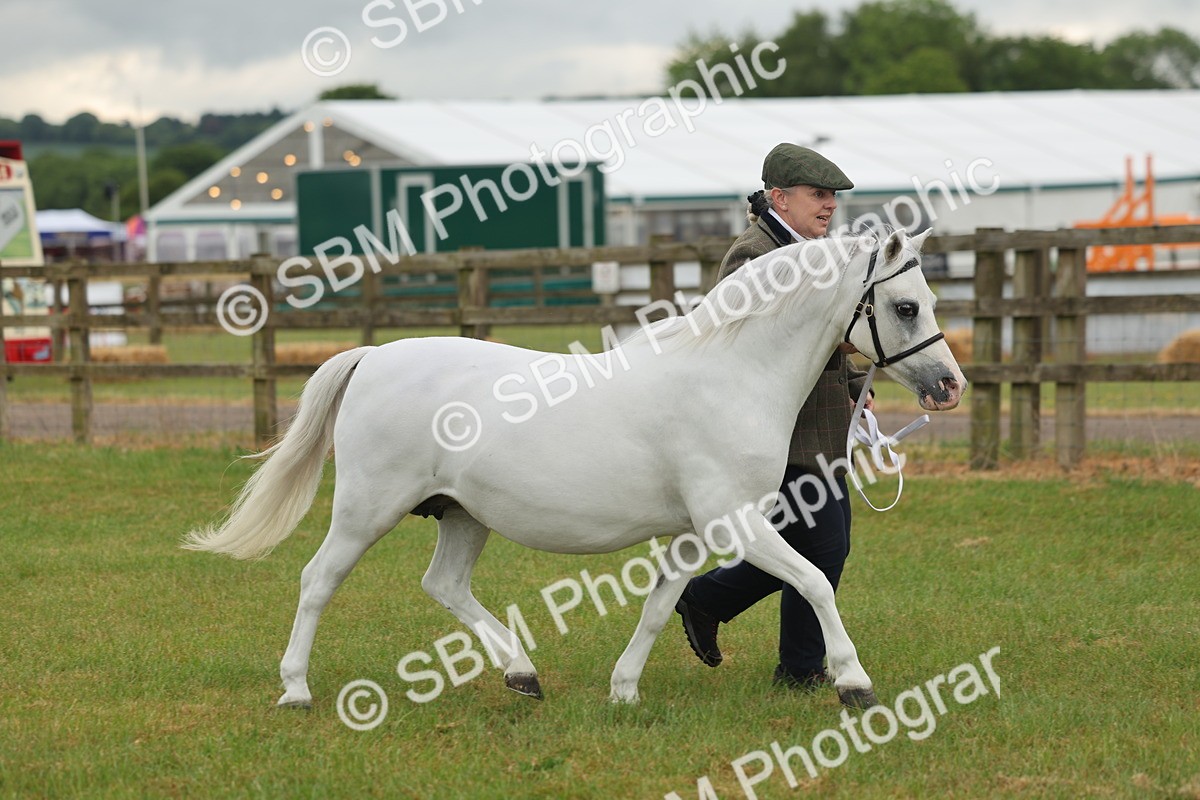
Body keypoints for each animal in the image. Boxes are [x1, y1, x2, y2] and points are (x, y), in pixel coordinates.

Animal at [184, 226, 966, 711]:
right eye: (905, 305)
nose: (948, 386)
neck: (730, 374)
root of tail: (373, 356)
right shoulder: (736, 522)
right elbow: (814, 582)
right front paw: (854, 683)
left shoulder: (691, 533)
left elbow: (660, 606)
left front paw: (623, 691)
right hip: (366, 509)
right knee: (318, 581)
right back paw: (296, 691)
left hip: (463, 515)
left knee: (444, 585)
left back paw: (523, 674)